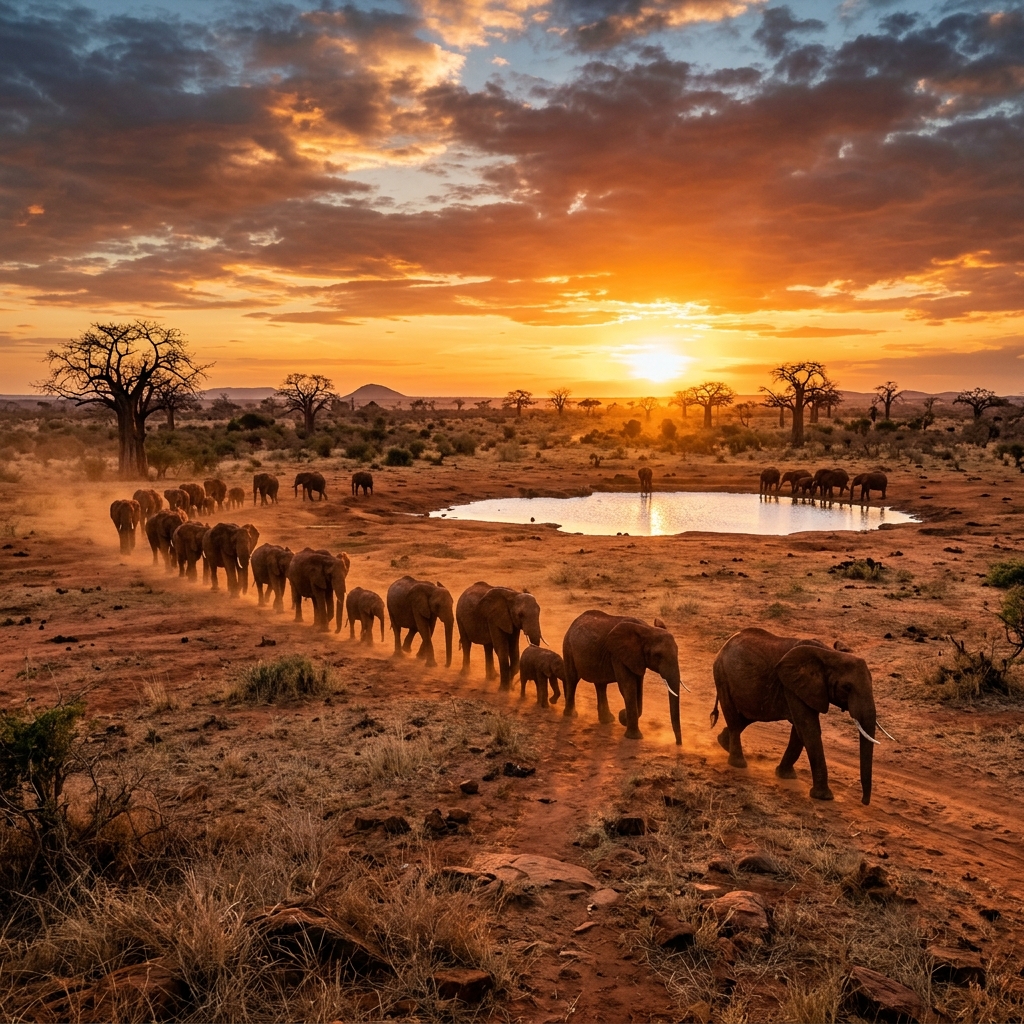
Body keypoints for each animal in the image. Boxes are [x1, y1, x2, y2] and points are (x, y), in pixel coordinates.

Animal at [562, 611, 683, 745]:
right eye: (658, 655)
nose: (678, 744)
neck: (647, 629)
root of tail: (574, 622)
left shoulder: (636, 658)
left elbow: (638, 688)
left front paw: (623, 717)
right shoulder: (618, 655)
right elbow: (628, 687)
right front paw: (633, 735)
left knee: (600, 684)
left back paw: (607, 720)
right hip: (568, 647)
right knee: (572, 679)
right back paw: (571, 715)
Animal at [711, 627, 879, 804]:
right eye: (847, 687)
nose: (864, 802)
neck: (830, 654)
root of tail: (725, 645)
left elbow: (800, 730)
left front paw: (785, 776)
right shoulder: (792, 686)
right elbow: (809, 729)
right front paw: (823, 797)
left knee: (746, 717)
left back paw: (723, 743)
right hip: (722, 675)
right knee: (734, 718)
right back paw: (738, 764)